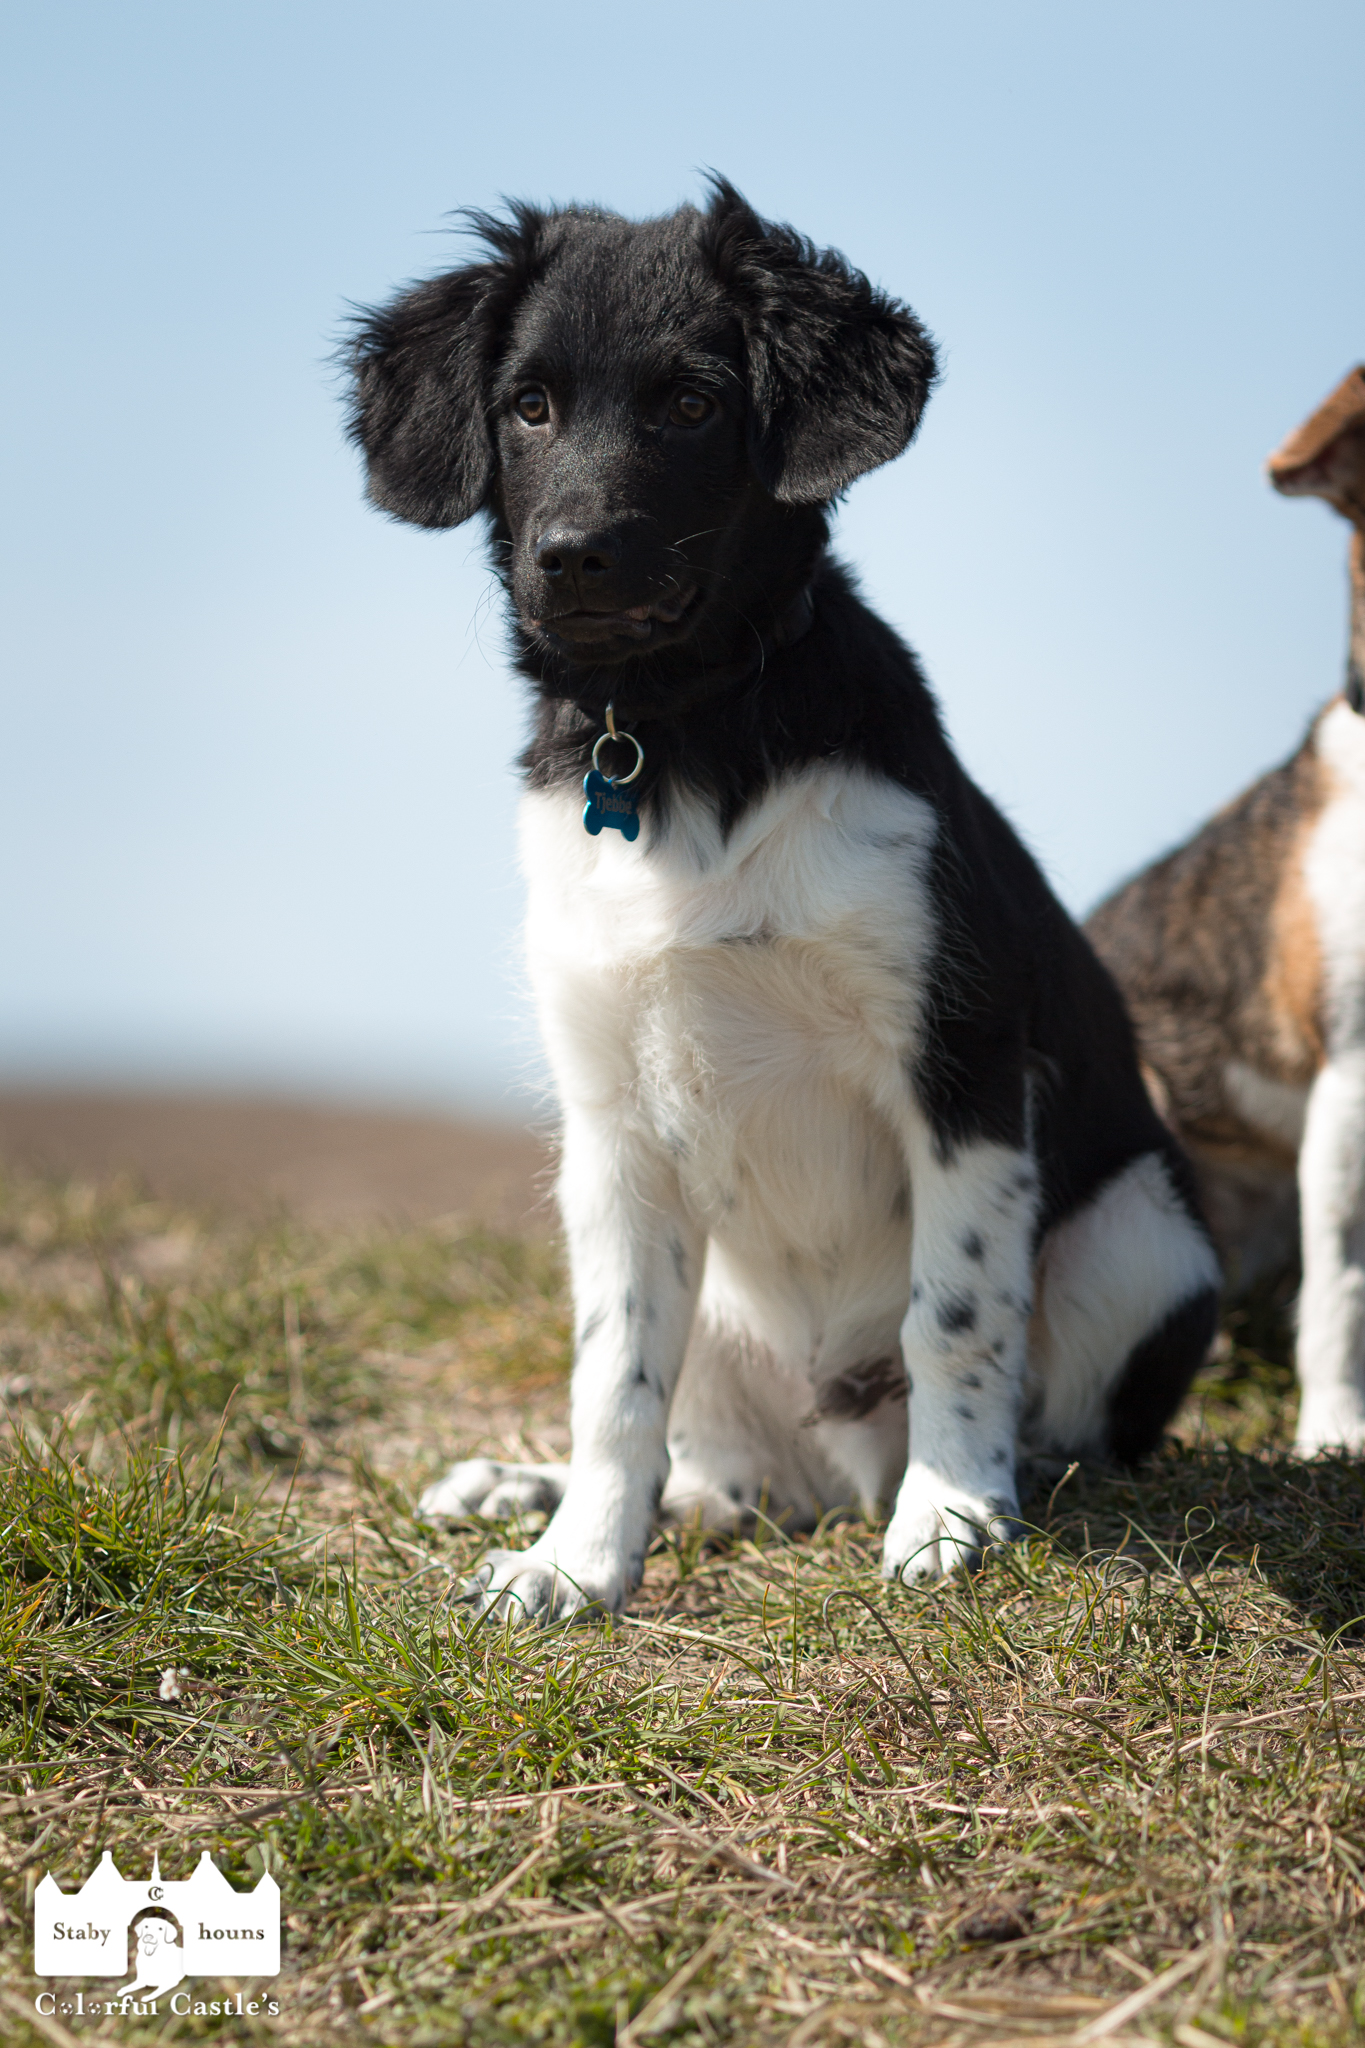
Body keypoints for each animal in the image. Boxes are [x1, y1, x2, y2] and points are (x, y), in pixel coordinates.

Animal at [346, 181, 1220, 1620]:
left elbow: (953, 1312)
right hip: (721, 1310)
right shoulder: (609, 1129)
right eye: (528, 405)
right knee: (714, 1472)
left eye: (694, 404)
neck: (679, 734)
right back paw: (550, 1492)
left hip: (1143, 1237)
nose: (571, 557)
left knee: (1052, 1411)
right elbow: (613, 1378)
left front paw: (950, 1516)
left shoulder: (961, 1061)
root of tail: (835, 1457)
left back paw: (982, 1485)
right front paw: (577, 1561)